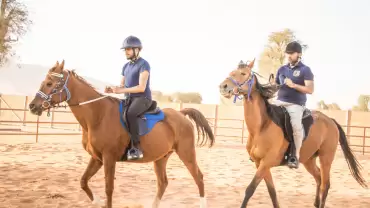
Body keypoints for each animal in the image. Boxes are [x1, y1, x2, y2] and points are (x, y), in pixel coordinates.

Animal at [28, 60, 215, 208]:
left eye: (50, 83)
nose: (32, 106)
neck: (98, 115)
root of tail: (181, 114)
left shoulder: (109, 158)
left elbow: (109, 188)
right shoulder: (97, 158)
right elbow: (83, 181)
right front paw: (96, 202)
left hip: (186, 153)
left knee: (199, 178)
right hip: (161, 158)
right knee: (163, 183)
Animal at [218, 59, 366, 208]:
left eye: (243, 73)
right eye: (232, 72)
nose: (223, 86)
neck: (262, 126)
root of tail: (331, 121)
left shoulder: (266, 162)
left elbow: (250, 189)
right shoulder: (260, 164)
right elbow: (272, 192)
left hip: (326, 158)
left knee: (325, 185)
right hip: (308, 160)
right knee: (318, 177)